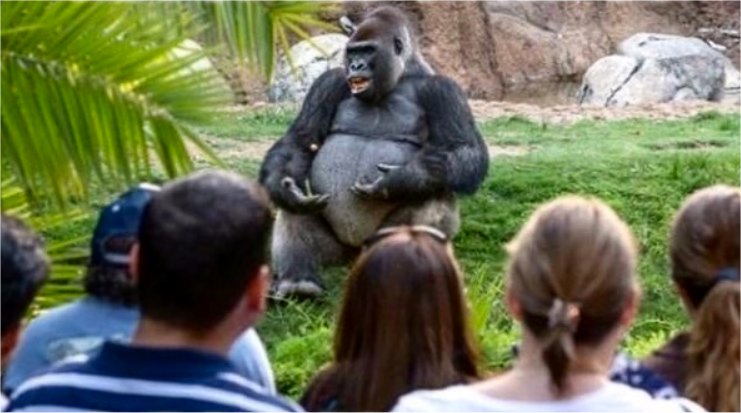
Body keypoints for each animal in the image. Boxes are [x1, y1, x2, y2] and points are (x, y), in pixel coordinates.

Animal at [259, 6, 489, 297]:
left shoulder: (445, 89)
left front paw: (402, 178)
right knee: (296, 206)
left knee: (435, 191)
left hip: (375, 247)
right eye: (352, 52)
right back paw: (297, 281)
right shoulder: (328, 82)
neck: (402, 75)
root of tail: (354, 254)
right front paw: (282, 188)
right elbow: (301, 140)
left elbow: (465, 151)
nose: (355, 66)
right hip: (336, 254)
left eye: (368, 51)